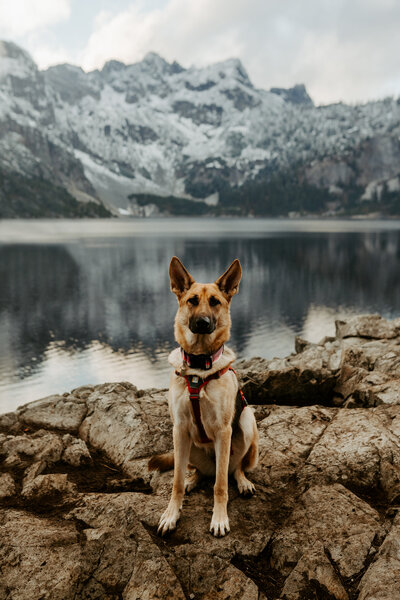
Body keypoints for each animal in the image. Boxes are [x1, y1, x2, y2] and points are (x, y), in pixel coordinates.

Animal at [148, 255, 258, 536]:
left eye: (215, 302)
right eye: (192, 300)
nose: (203, 324)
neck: (199, 367)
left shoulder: (223, 430)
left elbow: (220, 486)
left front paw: (219, 519)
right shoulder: (179, 428)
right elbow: (175, 482)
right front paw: (171, 514)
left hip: (247, 421)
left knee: (233, 469)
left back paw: (242, 481)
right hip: (187, 446)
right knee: (198, 471)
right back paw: (193, 479)